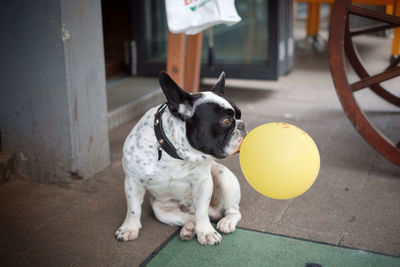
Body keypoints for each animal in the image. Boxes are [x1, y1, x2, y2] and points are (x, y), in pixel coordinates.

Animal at [115, 71, 247, 247]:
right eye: (226, 121)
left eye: (239, 116)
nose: (242, 125)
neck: (175, 153)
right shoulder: (133, 182)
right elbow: (133, 209)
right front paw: (129, 228)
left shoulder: (203, 182)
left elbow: (202, 212)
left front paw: (206, 232)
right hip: (161, 210)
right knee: (189, 217)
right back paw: (188, 229)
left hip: (225, 179)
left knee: (232, 211)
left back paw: (226, 222)